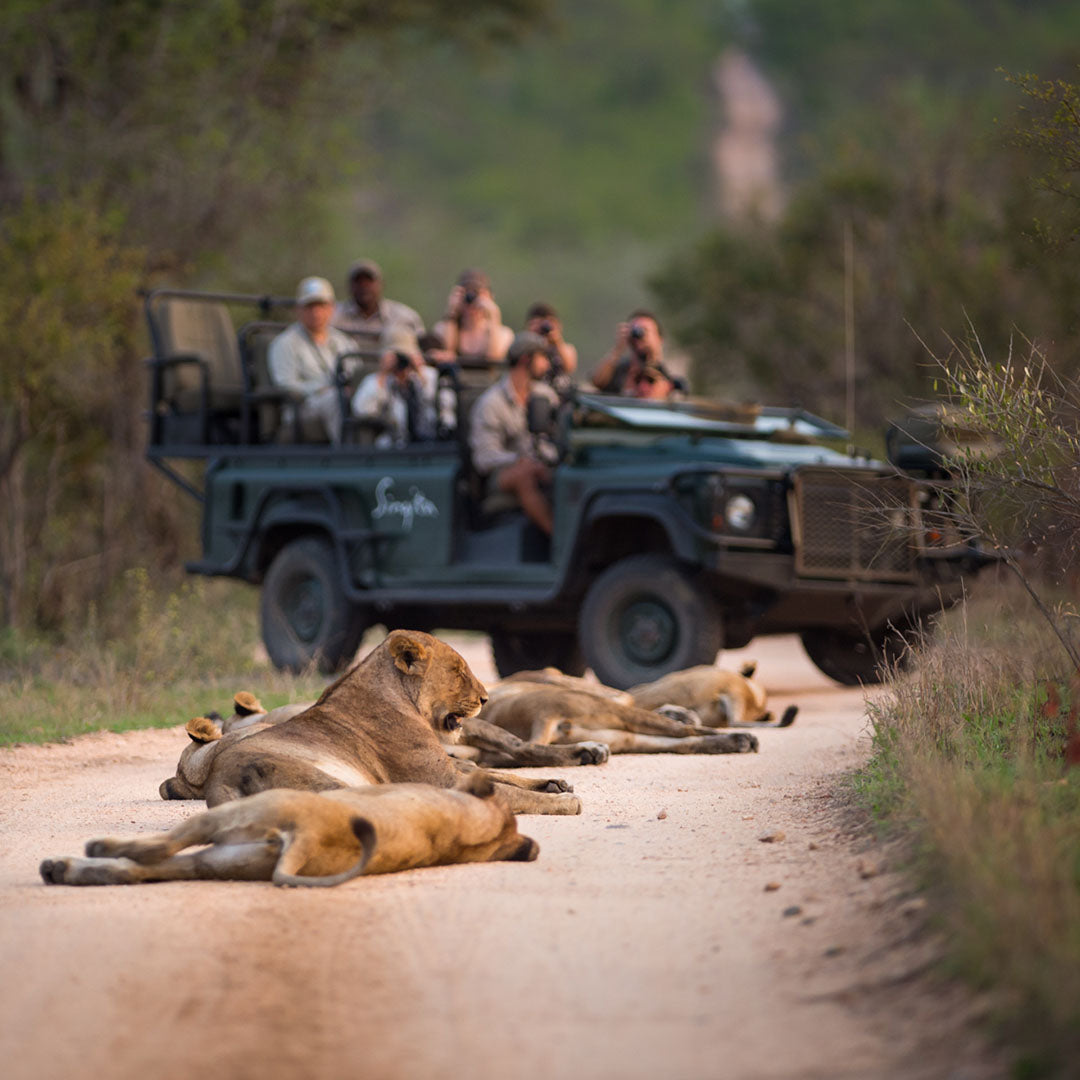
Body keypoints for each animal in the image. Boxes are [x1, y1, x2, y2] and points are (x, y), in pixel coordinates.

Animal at [159, 630, 581, 815]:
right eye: (459, 671)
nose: (485, 699)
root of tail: (219, 780)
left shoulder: (450, 767)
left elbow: (498, 774)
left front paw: (553, 783)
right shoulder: (444, 778)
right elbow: (510, 792)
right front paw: (563, 801)